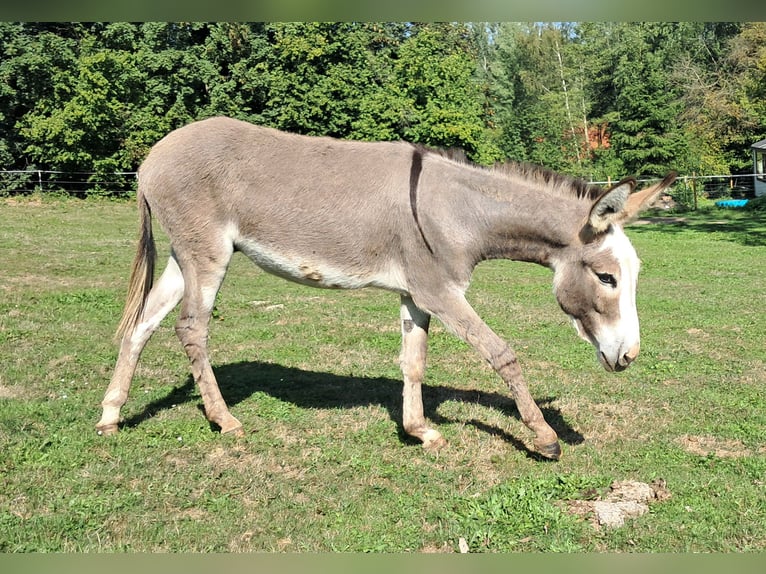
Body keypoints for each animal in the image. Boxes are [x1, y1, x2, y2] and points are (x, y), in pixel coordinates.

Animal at [96, 116, 676, 460]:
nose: (630, 356)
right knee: (191, 329)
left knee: (141, 324)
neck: (459, 210)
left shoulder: (416, 294)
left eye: (634, 273)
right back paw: (224, 420)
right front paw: (546, 438)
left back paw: (110, 417)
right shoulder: (441, 291)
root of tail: (152, 157)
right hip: (208, 255)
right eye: (606, 277)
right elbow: (501, 354)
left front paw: (420, 431)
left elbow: (413, 362)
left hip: (185, 257)